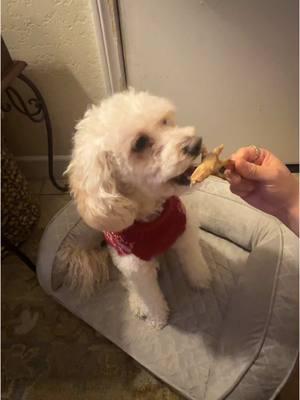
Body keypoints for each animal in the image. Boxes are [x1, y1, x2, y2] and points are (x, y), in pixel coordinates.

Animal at [61, 90, 211, 328]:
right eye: (140, 143)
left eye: (165, 121)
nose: (196, 143)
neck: (152, 216)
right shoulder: (134, 266)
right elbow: (150, 295)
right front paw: (158, 318)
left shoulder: (185, 232)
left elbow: (193, 260)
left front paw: (201, 279)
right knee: (130, 284)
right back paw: (138, 302)